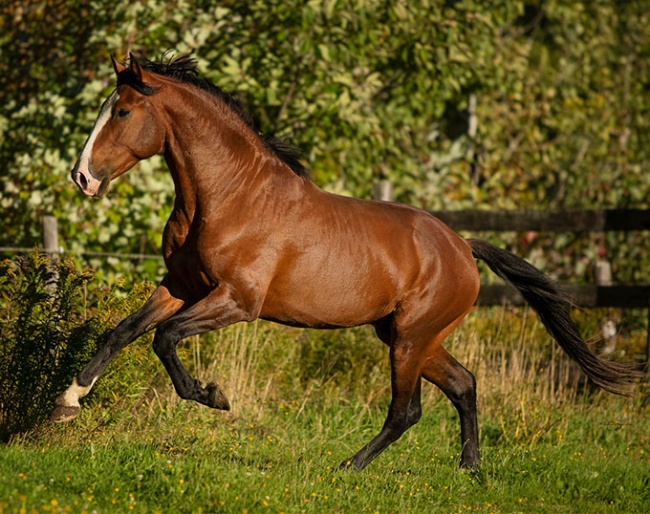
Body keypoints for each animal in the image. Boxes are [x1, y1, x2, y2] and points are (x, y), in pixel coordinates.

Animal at [50, 55, 636, 468]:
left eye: (122, 111)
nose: (82, 177)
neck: (230, 195)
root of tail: (463, 247)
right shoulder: (180, 285)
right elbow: (123, 332)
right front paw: (69, 400)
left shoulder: (237, 301)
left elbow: (164, 338)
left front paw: (212, 396)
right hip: (407, 334)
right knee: (464, 383)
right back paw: (469, 469)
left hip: (410, 339)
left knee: (407, 410)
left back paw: (350, 467)